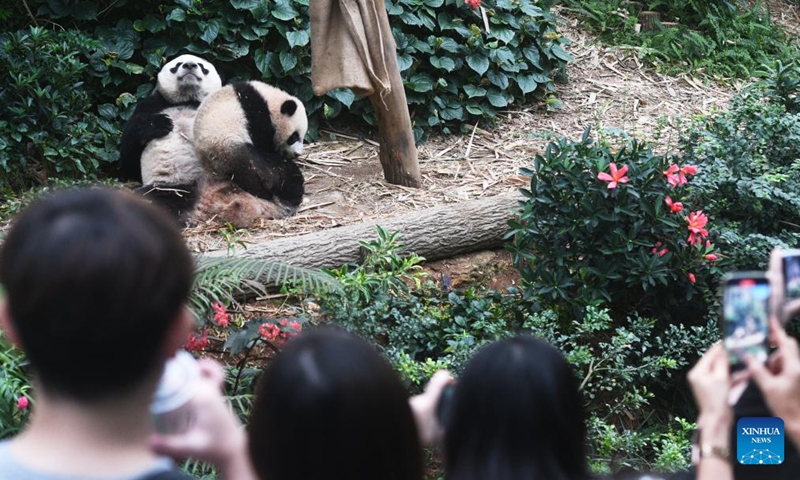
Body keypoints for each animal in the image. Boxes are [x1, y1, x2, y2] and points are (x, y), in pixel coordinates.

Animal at [117, 53, 222, 216]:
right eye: (178, 65)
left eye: (202, 66)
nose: (190, 65)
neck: (187, 99)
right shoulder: (153, 104)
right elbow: (129, 157)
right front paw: (162, 124)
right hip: (172, 185)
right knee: (159, 198)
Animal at [191, 80, 310, 227]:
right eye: (294, 137)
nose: (297, 153)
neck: (270, 100)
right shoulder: (256, 116)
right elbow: (264, 144)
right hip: (229, 150)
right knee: (254, 169)